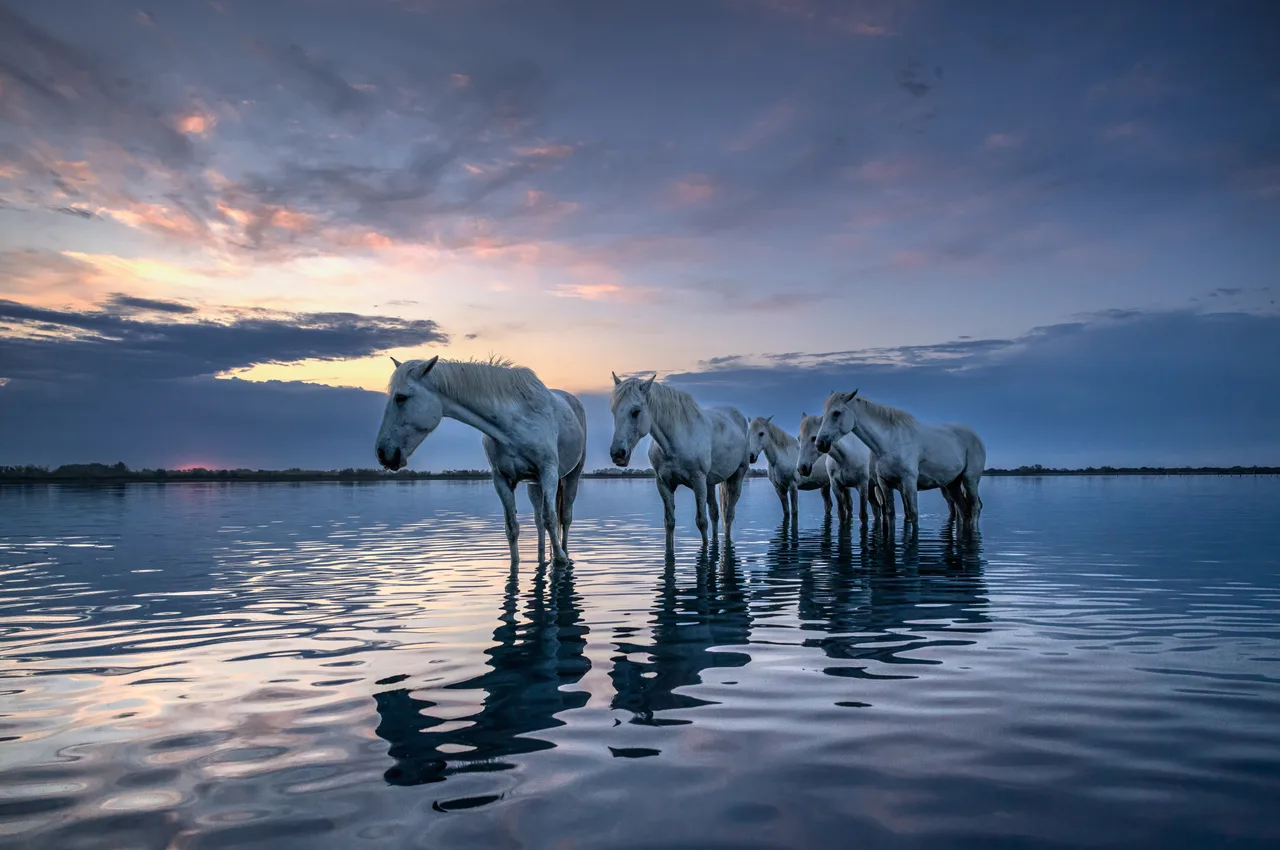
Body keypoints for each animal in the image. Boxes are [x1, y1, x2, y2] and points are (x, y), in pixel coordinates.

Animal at [375, 355, 586, 564]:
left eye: (401, 397)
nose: (382, 453)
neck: (513, 423)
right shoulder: (501, 479)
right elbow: (512, 527)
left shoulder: (548, 472)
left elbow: (551, 518)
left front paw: (561, 558)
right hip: (534, 484)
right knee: (538, 521)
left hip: (571, 476)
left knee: (565, 517)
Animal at [609, 373, 750, 550]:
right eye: (614, 411)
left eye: (635, 412)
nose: (617, 454)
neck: (675, 443)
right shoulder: (663, 484)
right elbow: (669, 523)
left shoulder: (698, 481)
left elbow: (701, 522)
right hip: (710, 483)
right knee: (715, 513)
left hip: (737, 476)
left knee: (728, 515)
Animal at [815, 390, 985, 526]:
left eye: (836, 413)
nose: (820, 443)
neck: (890, 441)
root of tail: (975, 436)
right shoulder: (885, 483)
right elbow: (891, 513)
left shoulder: (909, 482)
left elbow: (913, 514)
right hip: (952, 484)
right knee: (964, 510)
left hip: (970, 480)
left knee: (975, 507)